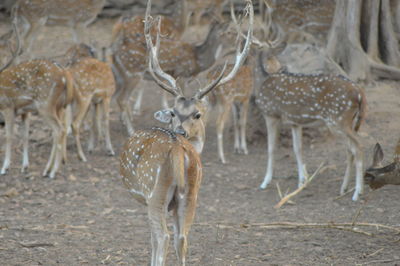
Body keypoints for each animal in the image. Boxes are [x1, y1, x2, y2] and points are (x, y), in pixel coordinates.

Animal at [119, 1, 253, 264]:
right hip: (190, 194)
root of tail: (179, 151)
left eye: (197, 114)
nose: (180, 130)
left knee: (163, 237)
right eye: (173, 112)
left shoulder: (146, 198)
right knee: (182, 238)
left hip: (156, 192)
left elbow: (153, 240)